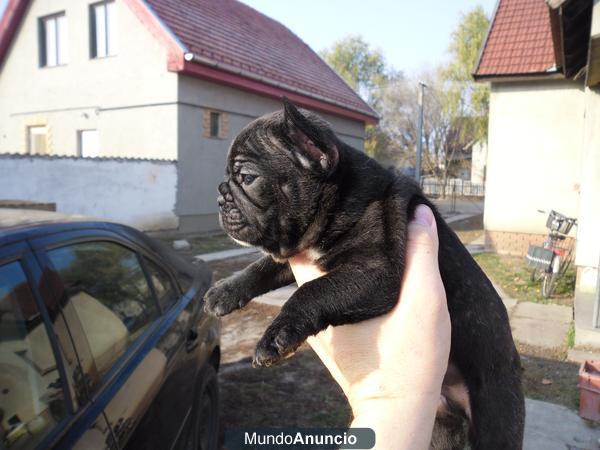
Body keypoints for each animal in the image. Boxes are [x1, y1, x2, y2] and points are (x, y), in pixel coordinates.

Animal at [206, 99, 524, 450]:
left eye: (247, 177)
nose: (219, 197)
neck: (339, 199)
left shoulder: (375, 271)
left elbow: (310, 291)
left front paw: (276, 338)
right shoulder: (294, 253)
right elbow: (261, 267)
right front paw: (224, 291)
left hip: (495, 415)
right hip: (441, 428)